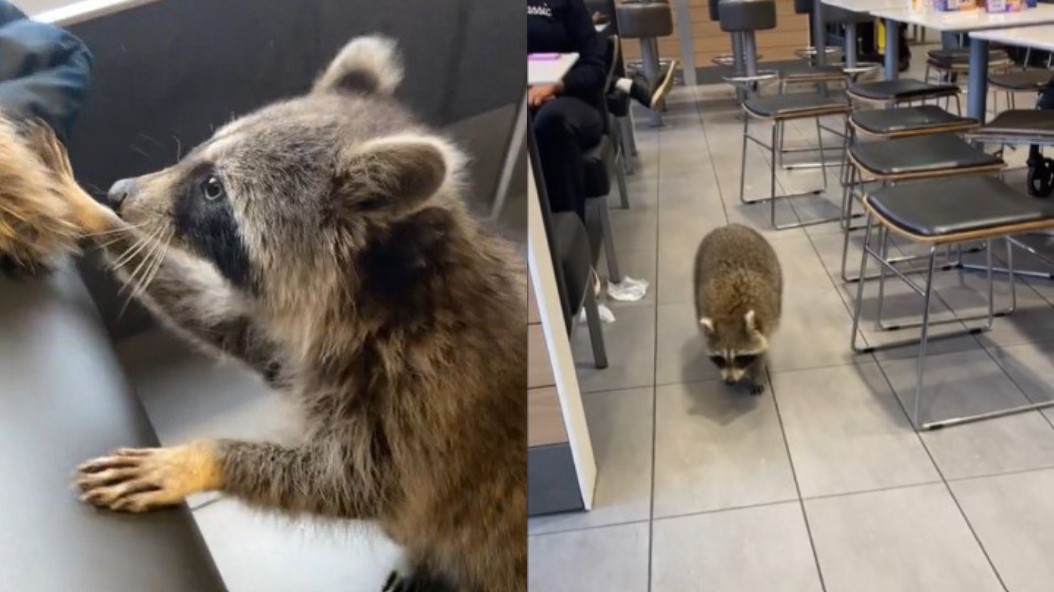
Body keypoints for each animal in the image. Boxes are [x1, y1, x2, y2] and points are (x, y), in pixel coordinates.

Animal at [52, 36, 526, 592]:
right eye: (205, 154)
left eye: (213, 189)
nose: (121, 193)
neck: (384, 285)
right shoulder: (307, 338)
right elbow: (227, 324)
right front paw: (93, 214)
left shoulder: (435, 391)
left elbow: (364, 485)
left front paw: (199, 458)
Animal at [693, 224, 782, 395]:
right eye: (719, 359)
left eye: (740, 358)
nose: (730, 381)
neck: (731, 315)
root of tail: (728, 226)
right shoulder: (704, 306)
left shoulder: (767, 323)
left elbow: (762, 352)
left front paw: (756, 374)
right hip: (698, 268)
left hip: (774, 266)